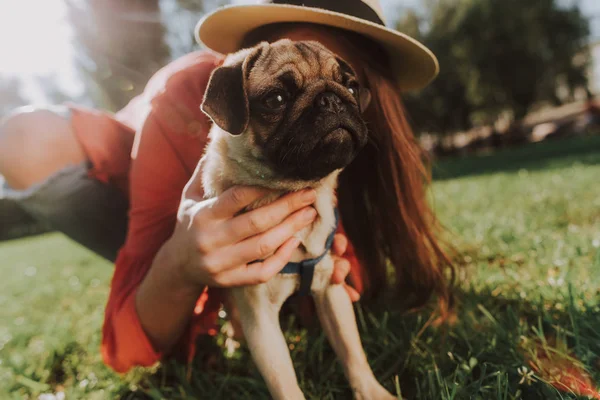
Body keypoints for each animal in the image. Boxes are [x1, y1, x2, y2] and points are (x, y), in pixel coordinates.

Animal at [200, 38, 394, 400]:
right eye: (276, 99)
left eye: (350, 87)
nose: (331, 99)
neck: (290, 188)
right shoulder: (260, 320)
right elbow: (285, 383)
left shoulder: (331, 291)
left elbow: (353, 353)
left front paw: (372, 392)